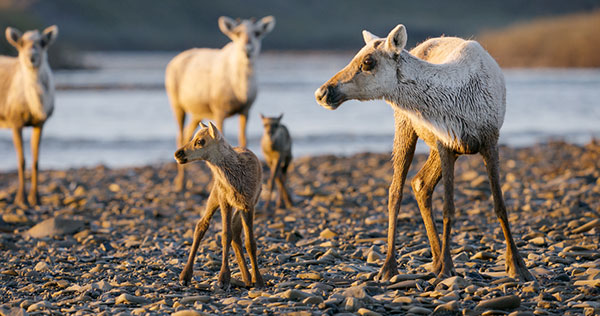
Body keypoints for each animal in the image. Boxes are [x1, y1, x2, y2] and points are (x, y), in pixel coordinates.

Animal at [0, 25, 58, 206]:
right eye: (21, 43)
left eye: (42, 42)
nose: (31, 57)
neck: (36, 105)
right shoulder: (15, 122)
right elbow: (22, 160)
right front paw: (21, 199)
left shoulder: (40, 124)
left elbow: (36, 160)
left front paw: (35, 198)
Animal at [176, 121, 264, 288]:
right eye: (193, 137)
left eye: (200, 141)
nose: (178, 154)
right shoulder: (224, 200)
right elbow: (225, 235)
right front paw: (223, 278)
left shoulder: (249, 204)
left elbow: (250, 242)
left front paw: (258, 279)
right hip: (214, 194)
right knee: (202, 224)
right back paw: (185, 275)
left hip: (243, 204)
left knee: (236, 231)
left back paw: (247, 278)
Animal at [314, 24, 536, 282]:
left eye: (368, 61)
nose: (322, 93)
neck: (459, 101)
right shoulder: (445, 144)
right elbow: (449, 209)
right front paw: (447, 267)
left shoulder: (490, 140)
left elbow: (500, 205)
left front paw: (518, 266)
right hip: (405, 125)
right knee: (396, 191)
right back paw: (391, 266)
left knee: (420, 183)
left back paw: (434, 258)